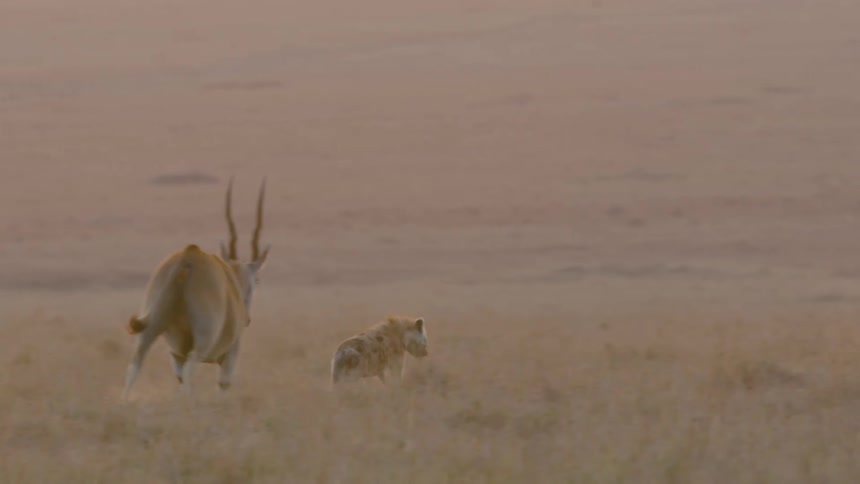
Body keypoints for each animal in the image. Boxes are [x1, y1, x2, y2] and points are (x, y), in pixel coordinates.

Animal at [122, 178, 271, 400]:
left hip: (151, 330)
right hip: (202, 343)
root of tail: (188, 258)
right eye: (257, 279)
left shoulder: (176, 354)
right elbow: (223, 385)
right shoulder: (230, 354)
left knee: (136, 365)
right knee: (190, 373)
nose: (248, 319)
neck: (232, 279)